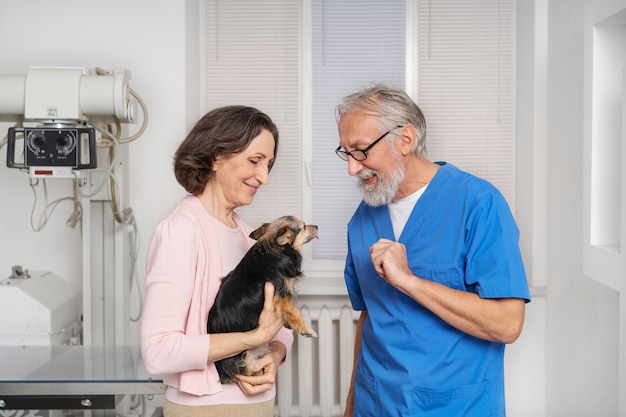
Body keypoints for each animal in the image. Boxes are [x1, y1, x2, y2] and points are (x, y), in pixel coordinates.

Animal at [208, 216, 316, 382]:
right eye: (304, 227)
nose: (316, 226)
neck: (274, 248)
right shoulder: (283, 294)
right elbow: (295, 312)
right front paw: (306, 330)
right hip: (242, 358)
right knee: (245, 370)